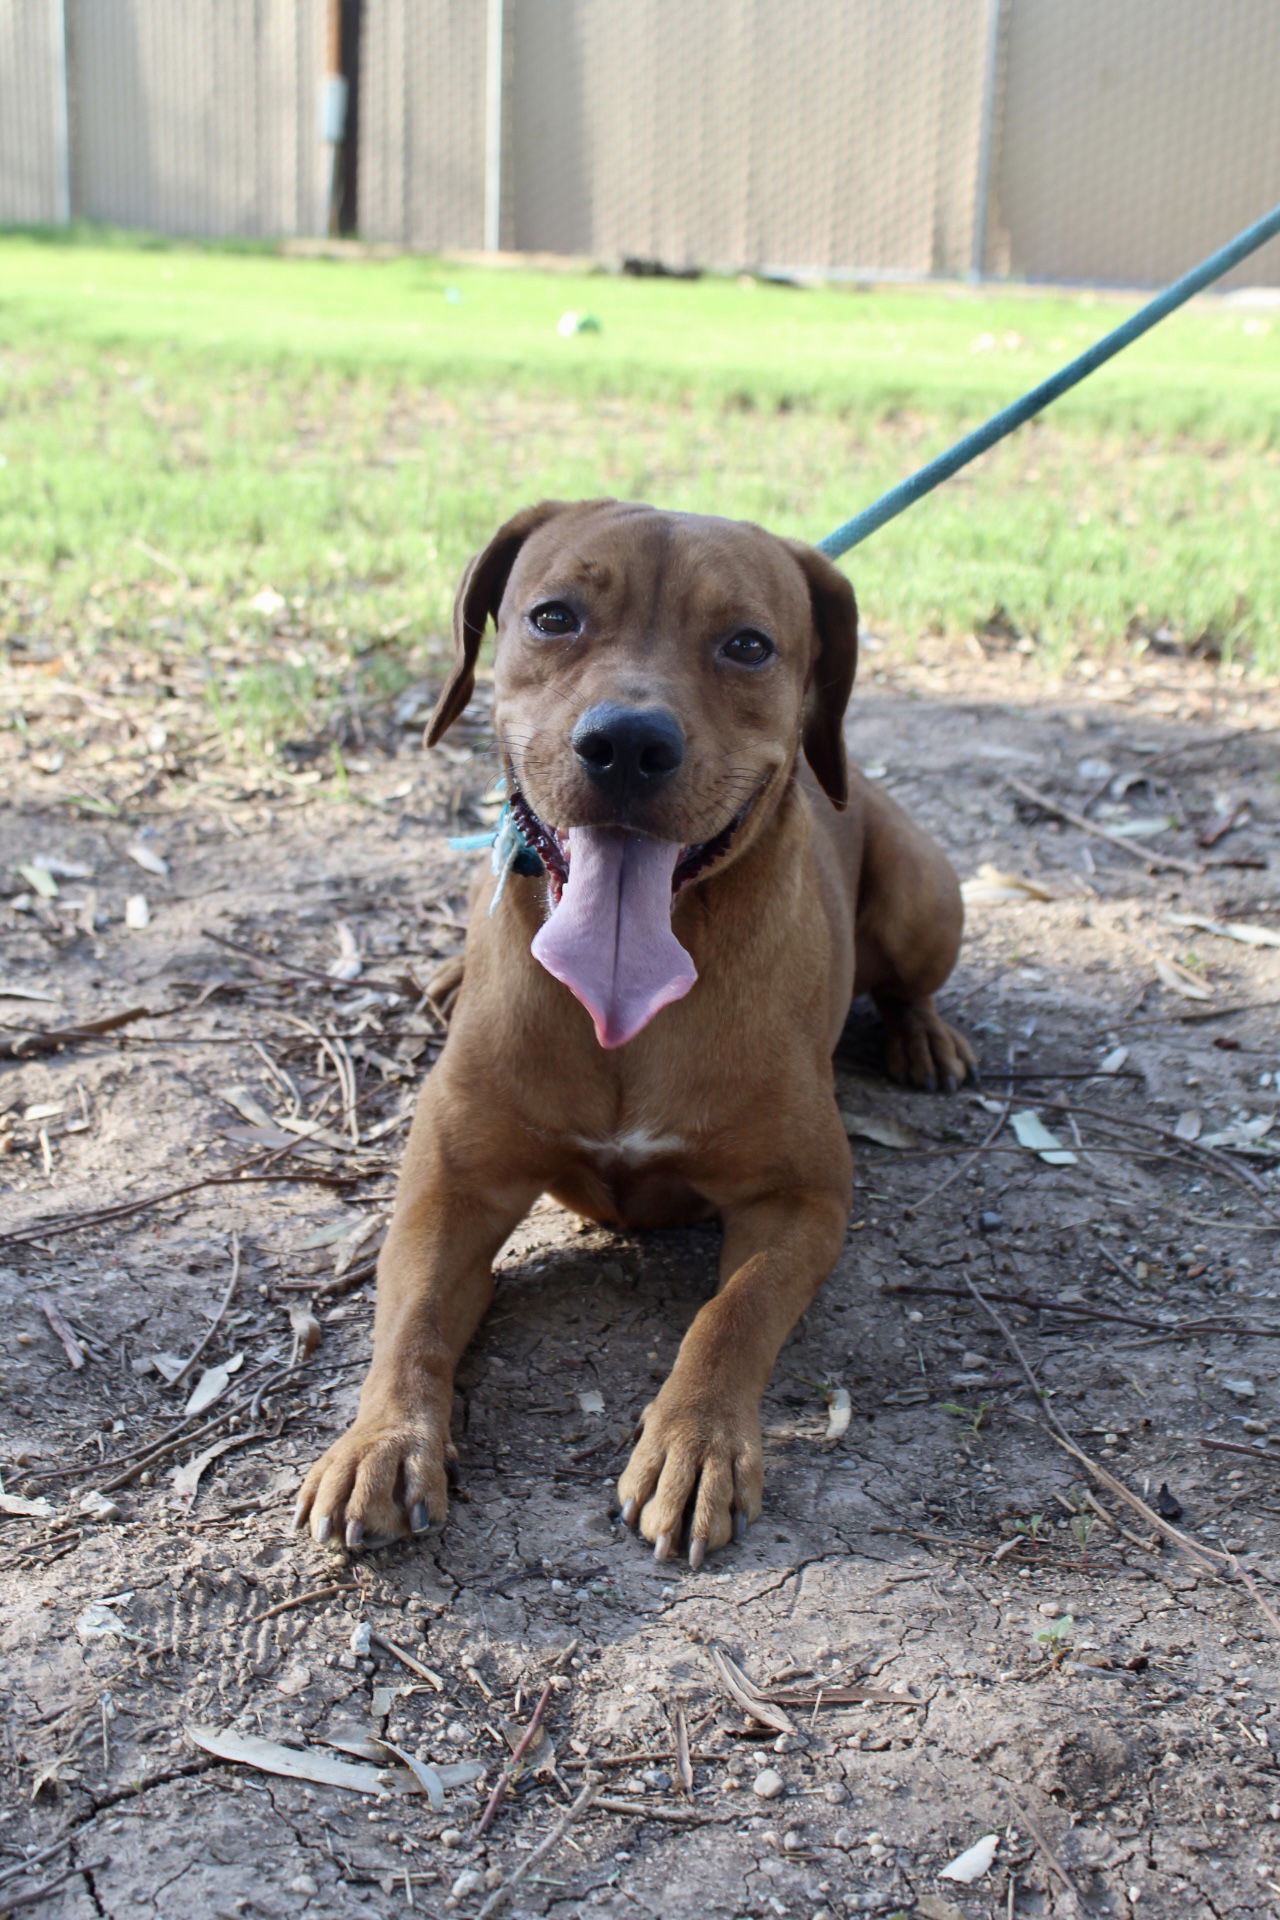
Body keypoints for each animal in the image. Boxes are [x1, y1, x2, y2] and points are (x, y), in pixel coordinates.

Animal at [293, 503, 971, 1566]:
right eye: (553, 616)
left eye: (748, 645)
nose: (626, 744)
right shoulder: (451, 1193)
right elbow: (408, 1321)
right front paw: (381, 1441)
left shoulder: (802, 1203)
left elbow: (730, 1316)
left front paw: (697, 1445)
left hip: (918, 896)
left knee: (912, 982)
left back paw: (924, 1037)